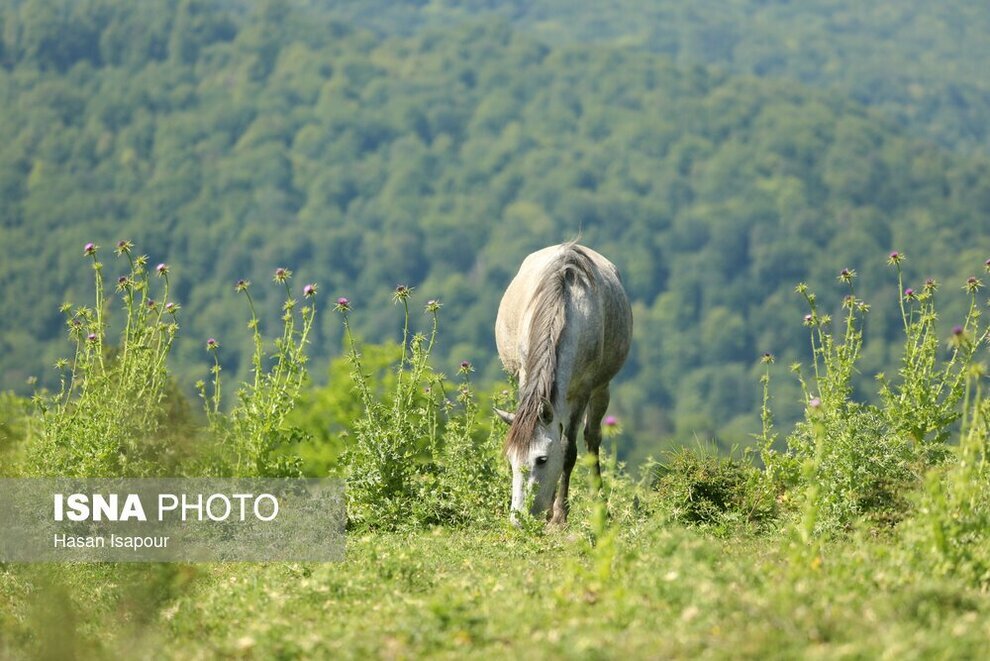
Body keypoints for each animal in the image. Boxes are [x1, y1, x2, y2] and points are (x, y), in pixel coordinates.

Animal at [496, 240, 636, 524]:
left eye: (541, 459)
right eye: (511, 460)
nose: (519, 519)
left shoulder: (582, 392)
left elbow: (568, 451)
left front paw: (560, 515)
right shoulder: (526, 381)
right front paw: (552, 510)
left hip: (601, 390)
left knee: (592, 439)